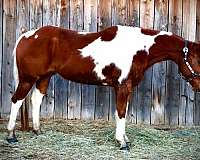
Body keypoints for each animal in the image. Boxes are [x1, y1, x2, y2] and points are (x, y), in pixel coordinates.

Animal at [6, 25, 200, 150]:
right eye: (195, 59)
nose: (198, 86)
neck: (138, 48)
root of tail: (26, 36)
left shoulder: (126, 88)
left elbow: (122, 112)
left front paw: (125, 139)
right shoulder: (122, 86)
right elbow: (120, 113)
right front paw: (122, 143)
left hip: (44, 78)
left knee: (35, 100)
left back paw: (37, 131)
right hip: (27, 79)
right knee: (16, 100)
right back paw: (11, 136)